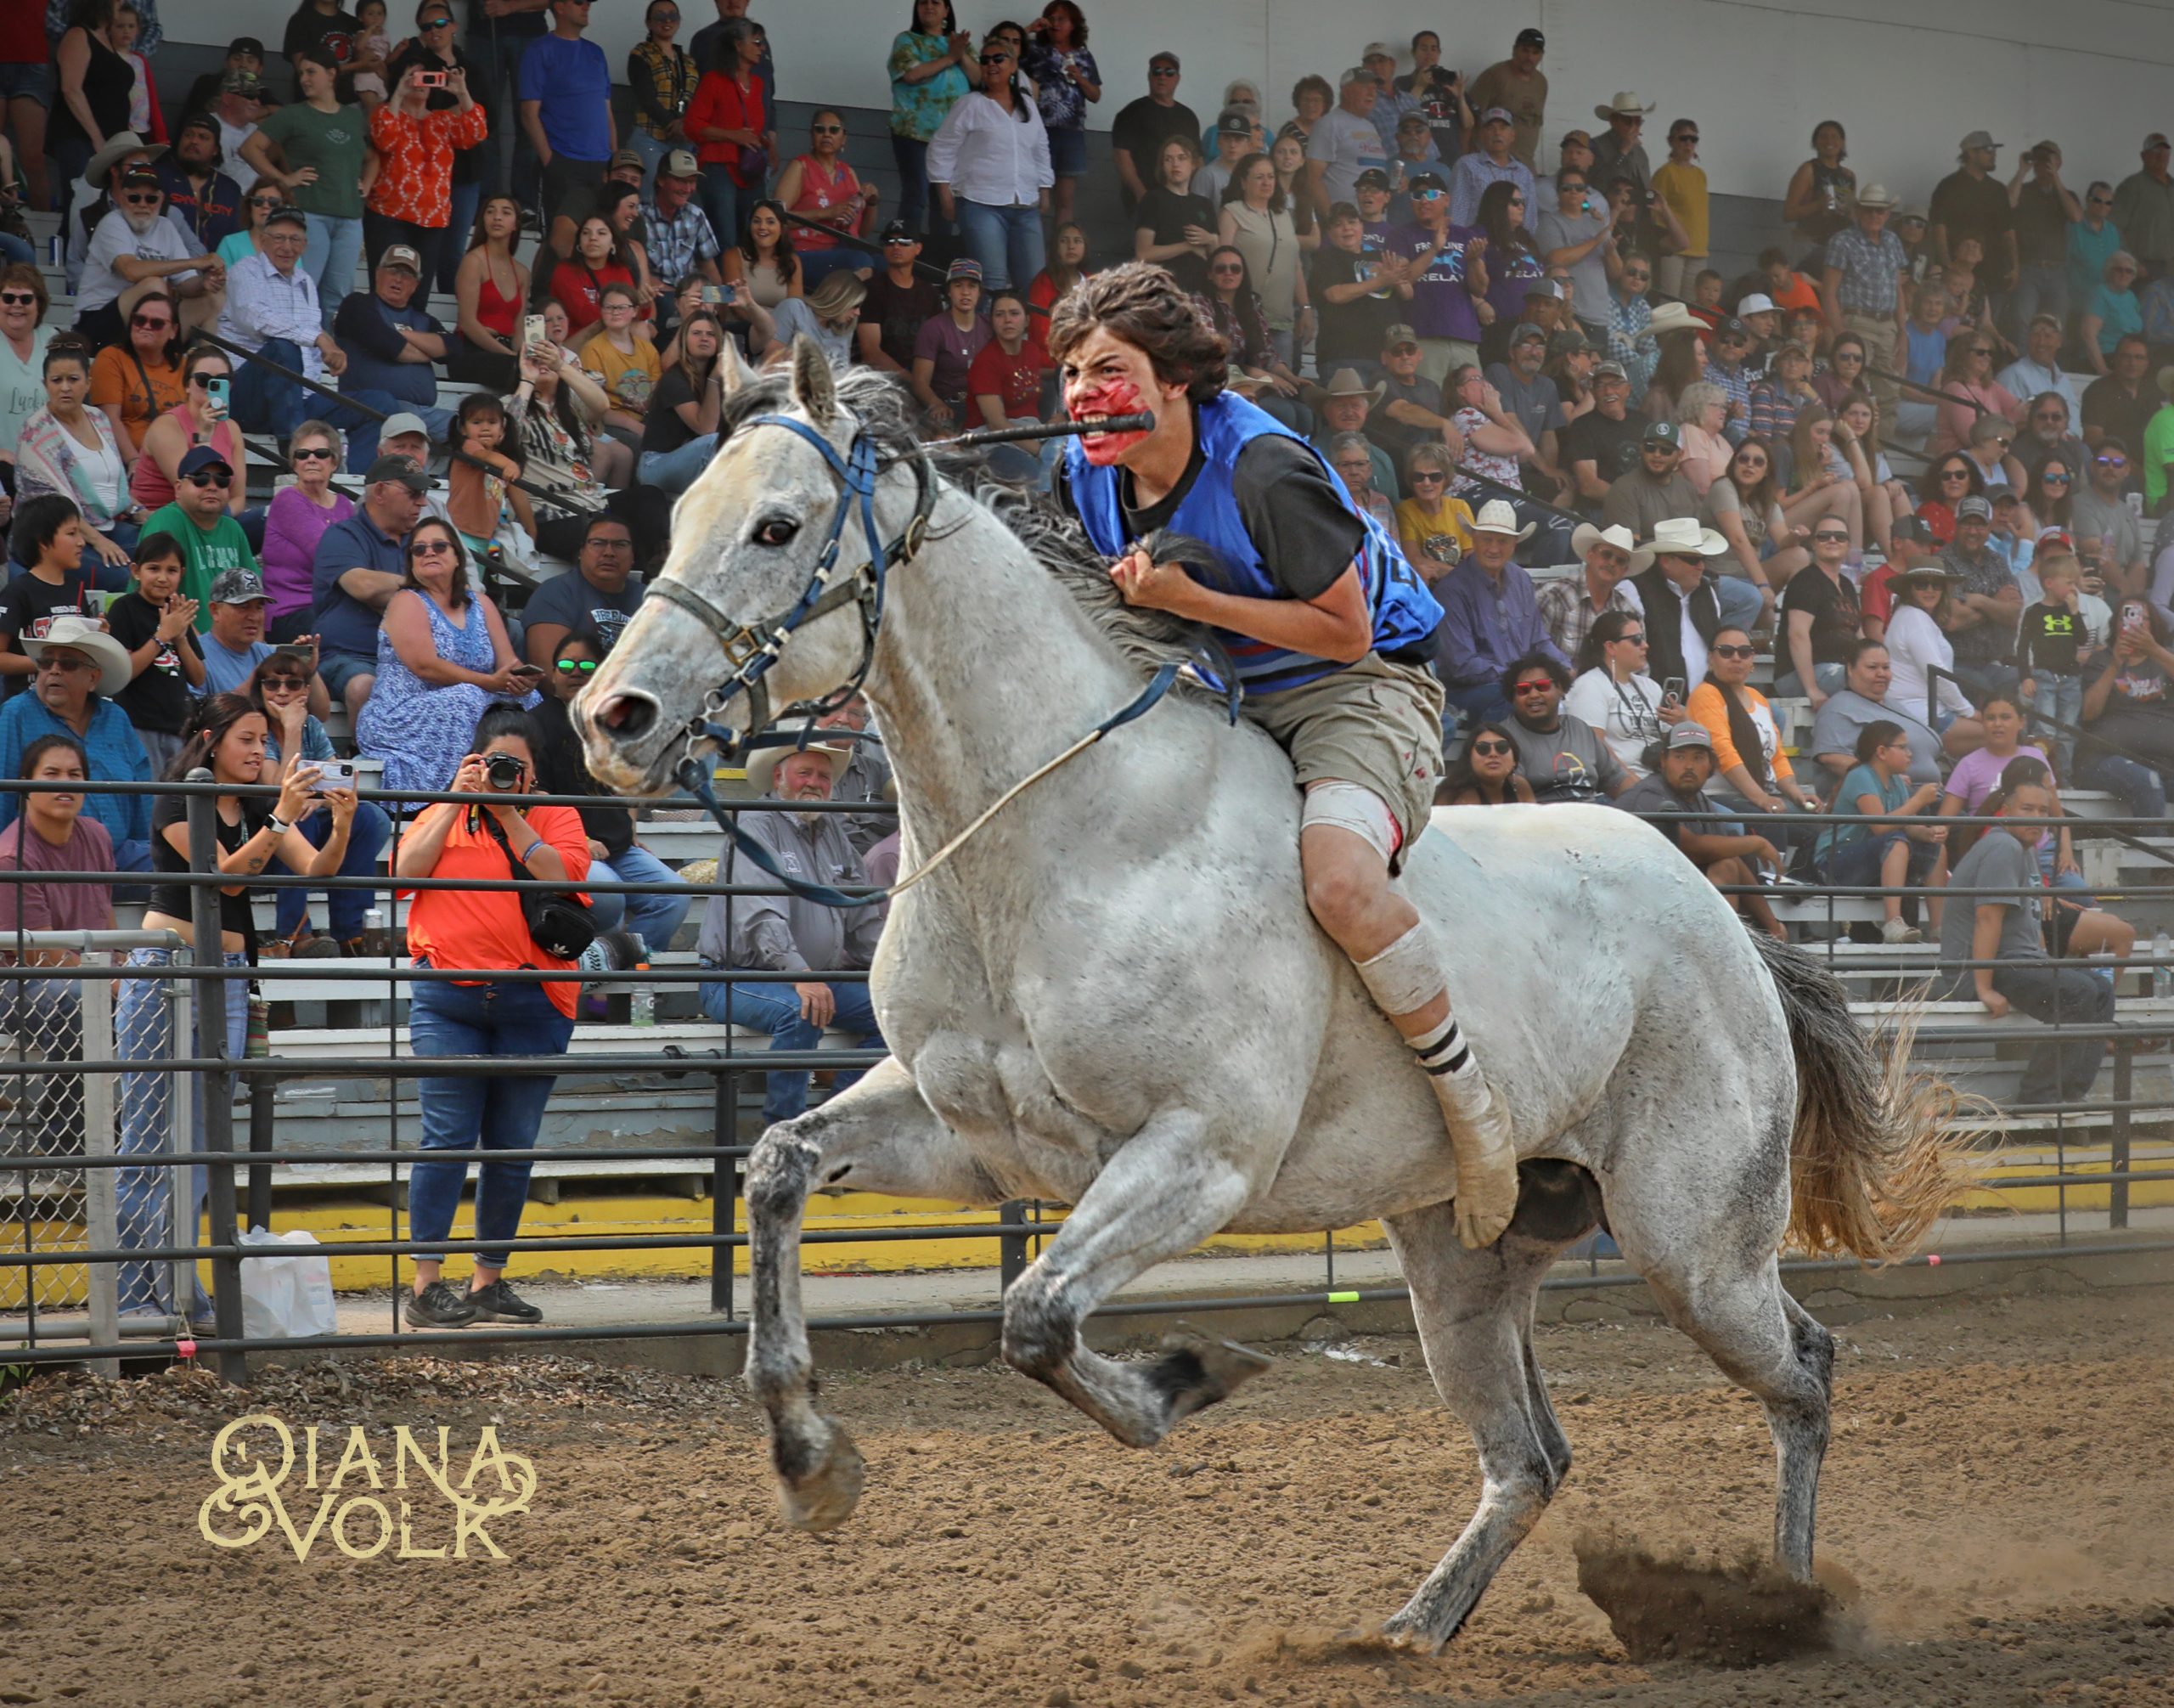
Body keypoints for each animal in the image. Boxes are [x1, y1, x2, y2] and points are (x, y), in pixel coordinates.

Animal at [577, 345, 1974, 1651]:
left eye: (777, 525)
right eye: (680, 511)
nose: (612, 716)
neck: (1060, 837)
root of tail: (1732, 930)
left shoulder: (1202, 1153)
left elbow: (1036, 1317)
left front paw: (1186, 1374)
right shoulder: (971, 1136)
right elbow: (778, 1168)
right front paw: (811, 1462)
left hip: (1695, 1245)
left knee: (1803, 1373)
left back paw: (1784, 1603)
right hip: (1465, 1264)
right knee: (1531, 1456)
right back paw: (1412, 1627)